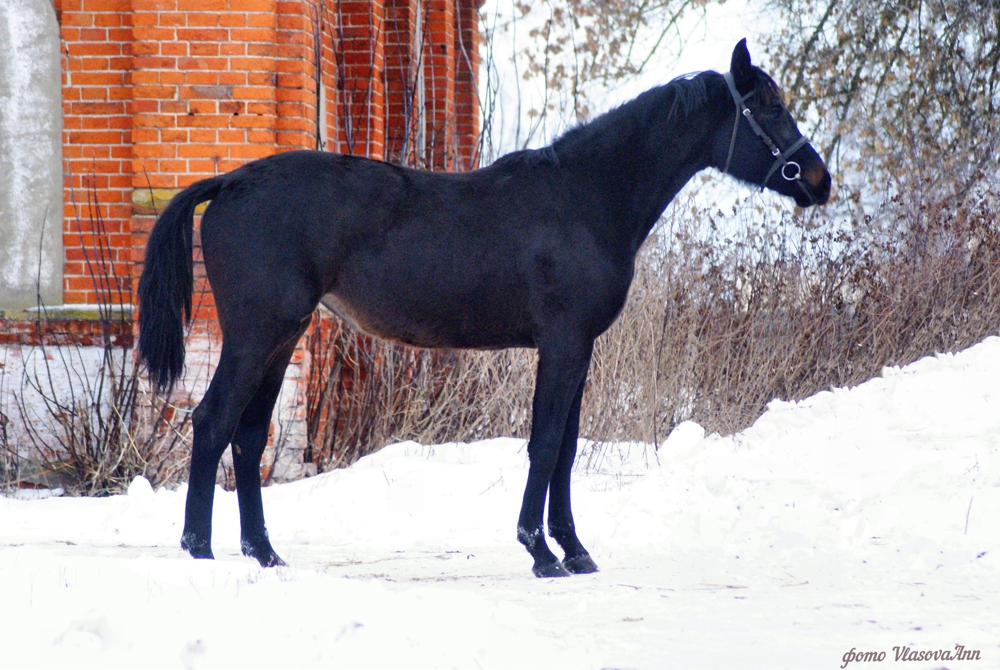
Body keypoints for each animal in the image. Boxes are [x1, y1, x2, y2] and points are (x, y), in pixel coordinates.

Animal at [137, 39, 832, 580]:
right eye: (767, 106)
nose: (818, 179)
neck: (585, 197)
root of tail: (232, 181)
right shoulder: (563, 342)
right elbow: (546, 444)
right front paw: (541, 553)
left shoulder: (579, 349)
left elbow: (567, 449)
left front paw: (575, 551)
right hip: (258, 334)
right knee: (212, 423)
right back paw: (199, 552)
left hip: (283, 338)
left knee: (249, 436)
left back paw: (265, 554)